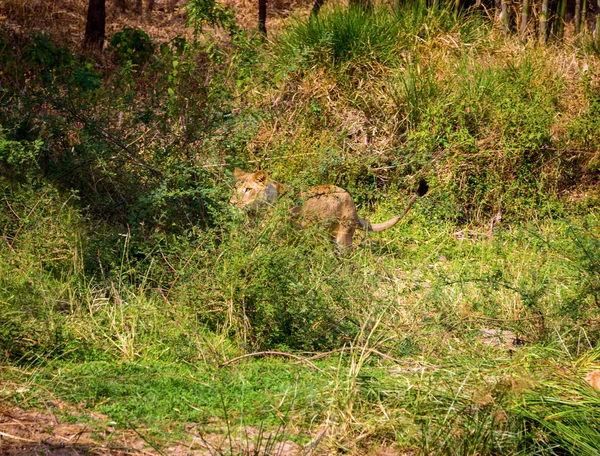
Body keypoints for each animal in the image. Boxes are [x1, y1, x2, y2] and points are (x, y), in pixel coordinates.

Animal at [230, 167, 426, 246]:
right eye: (235, 188)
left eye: (248, 189)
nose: (232, 203)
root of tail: (353, 204)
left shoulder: (274, 237)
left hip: (343, 237)